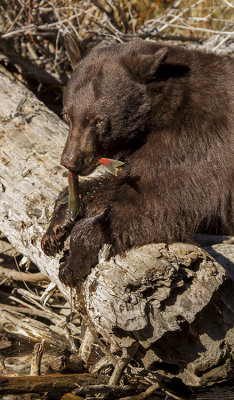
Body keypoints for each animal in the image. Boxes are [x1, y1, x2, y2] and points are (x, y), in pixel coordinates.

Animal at [41, 32, 233, 286]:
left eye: (99, 120)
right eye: (67, 115)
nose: (71, 161)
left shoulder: (197, 143)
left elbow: (155, 204)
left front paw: (72, 262)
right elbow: (127, 179)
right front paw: (57, 226)